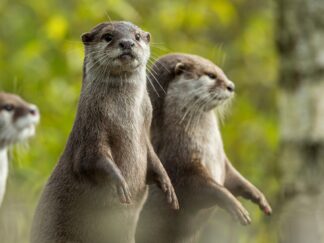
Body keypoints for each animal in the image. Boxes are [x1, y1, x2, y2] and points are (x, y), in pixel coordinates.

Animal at [31, 20, 178, 243]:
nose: (127, 43)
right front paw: (120, 181)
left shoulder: (145, 135)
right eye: (108, 36)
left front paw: (167, 183)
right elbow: (91, 159)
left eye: (137, 36)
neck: (124, 118)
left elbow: (153, 157)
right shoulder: (91, 131)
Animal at [135, 53, 272, 243]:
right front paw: (234, 205)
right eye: (211, 75)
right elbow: (204, 188)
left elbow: (234, 179)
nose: (231, 86)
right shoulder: (179, 166)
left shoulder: (223, 164)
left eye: (220, 71)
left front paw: (258, 196)